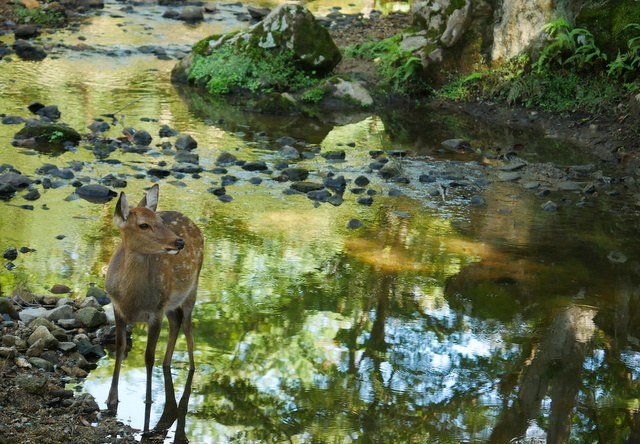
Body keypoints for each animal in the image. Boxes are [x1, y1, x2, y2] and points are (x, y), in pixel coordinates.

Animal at [105, 183, 204, 412]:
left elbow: (149, 356)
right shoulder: (116, 306)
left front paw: (148, 401)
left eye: (159, 221)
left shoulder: (156, 311)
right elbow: (120, 347)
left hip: (191, 288)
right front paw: (111, 399)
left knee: (188, 328)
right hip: (170, 303)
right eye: (144, 225)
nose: (179, 241)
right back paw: (167, 364)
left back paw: (192, 369)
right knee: (176, 321)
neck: (131, 300)